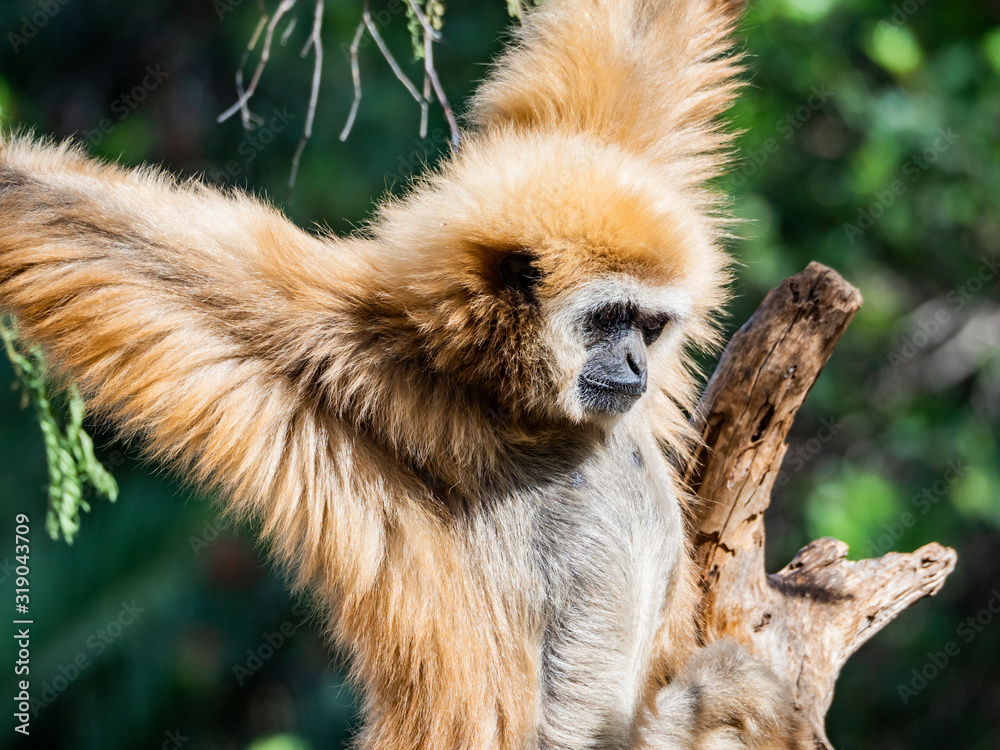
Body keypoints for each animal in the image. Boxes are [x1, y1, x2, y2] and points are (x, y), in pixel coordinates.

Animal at [0, 0, 807, 747]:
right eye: (610, 319)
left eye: (651, 325)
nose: (638, 361)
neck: (517, 408)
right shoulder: (329, 342)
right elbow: (116, 243)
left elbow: (639, 36)